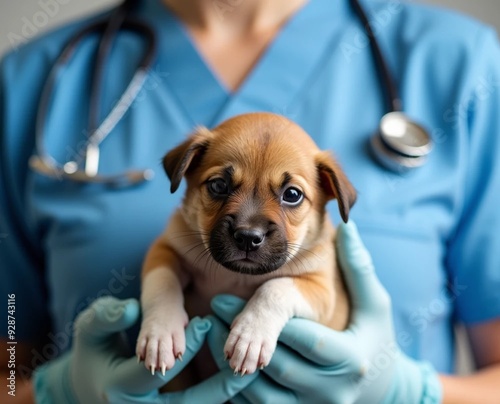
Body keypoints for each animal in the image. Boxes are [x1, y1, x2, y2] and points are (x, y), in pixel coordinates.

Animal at [137, 113, 356, 378]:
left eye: (292, 195)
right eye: (219, 185)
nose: (248, 237)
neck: (238, 276)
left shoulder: (322, 290)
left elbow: (274, 288)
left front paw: (250, 337)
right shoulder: (165, 249)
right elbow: (162, 283)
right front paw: (160, 334)